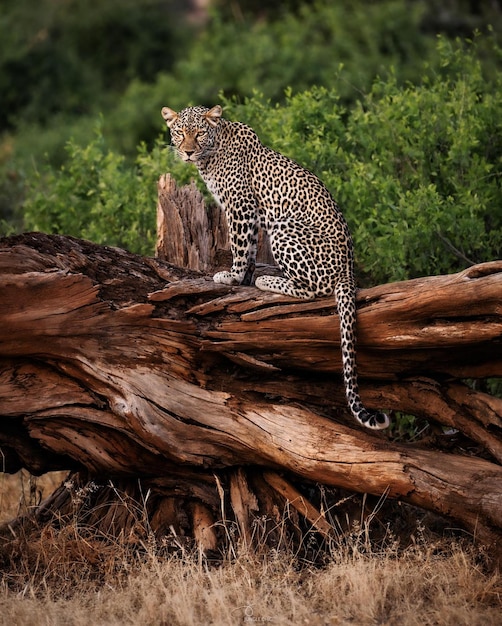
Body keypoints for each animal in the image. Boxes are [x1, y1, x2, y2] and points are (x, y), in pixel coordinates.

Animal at [163, 103, 390, 428]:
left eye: (200, 133)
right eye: (180, 132)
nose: (189, 152)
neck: (213, 153)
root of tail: (349, 269)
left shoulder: (241, 206)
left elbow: (239, 246)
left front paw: (232, 277)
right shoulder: (249, 215)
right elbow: (248, 248)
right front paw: (244, 277)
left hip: (284, 228)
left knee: (315, 289)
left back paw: (268, 281)